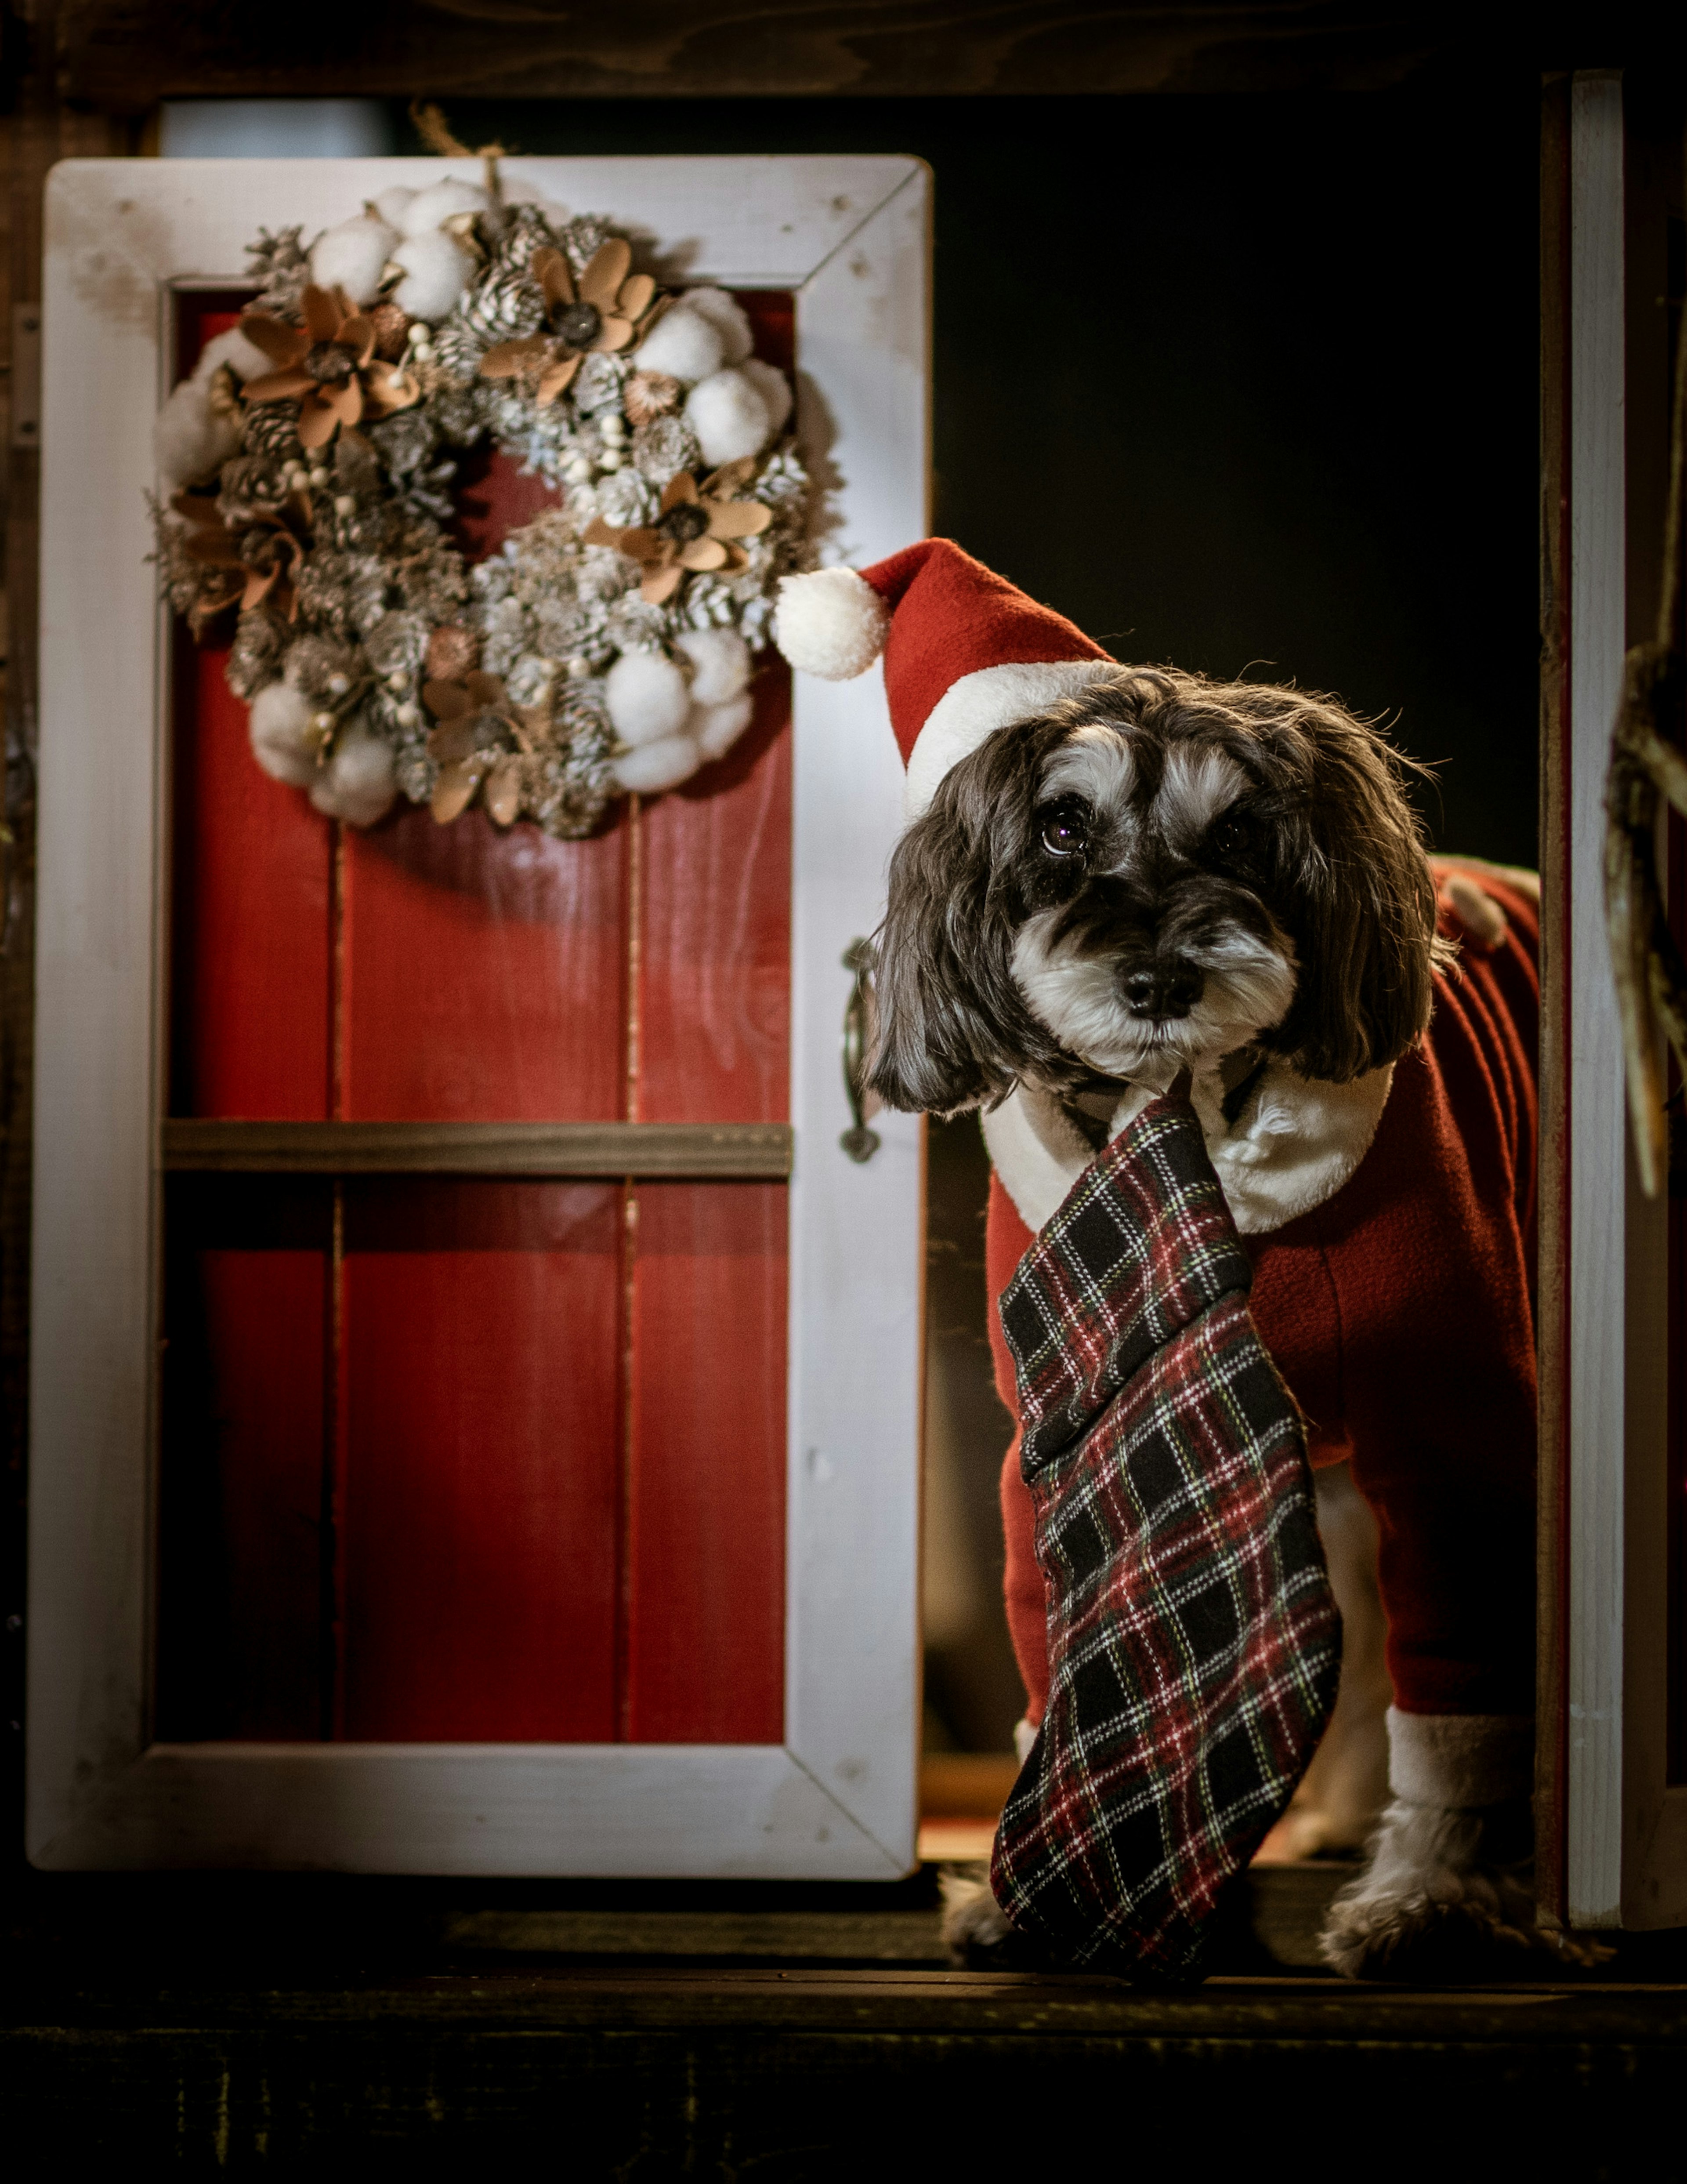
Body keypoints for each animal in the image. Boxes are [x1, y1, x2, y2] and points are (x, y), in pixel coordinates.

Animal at [864, 659, 1589, 1983]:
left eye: (1240, 832)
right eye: (1063, 827)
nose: (1159, 982)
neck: (1190, 1124)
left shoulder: (1456, 1441)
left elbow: (1460, 1682)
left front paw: (1435, 1896)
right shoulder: (1044, 1456)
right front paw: (1032, 1891)